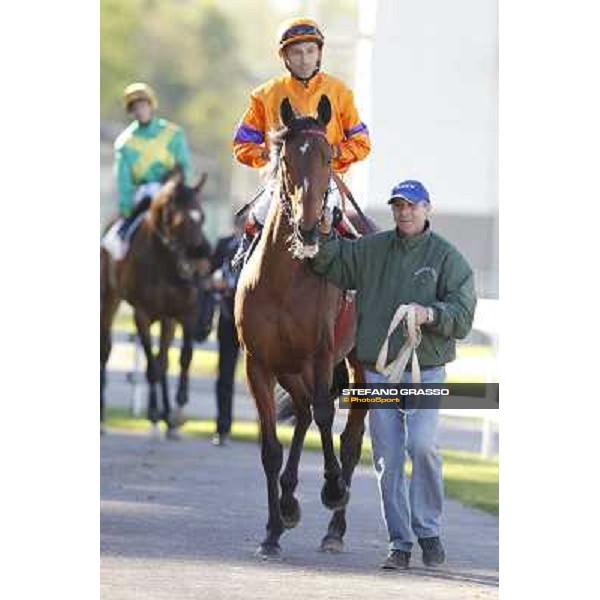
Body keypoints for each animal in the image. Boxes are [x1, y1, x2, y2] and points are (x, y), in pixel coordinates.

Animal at [99, 166, 211, 438]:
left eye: (202, 217)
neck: (164, 261)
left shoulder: (185, 312)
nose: (201, 264)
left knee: (164, 360)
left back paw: (166, 415)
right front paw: (154, 412)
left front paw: (177, 409)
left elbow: (183, 357)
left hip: (167, 319)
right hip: (109, 300)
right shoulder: (142, 313)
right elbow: (151, 367)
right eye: (181, 221)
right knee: (107, 350)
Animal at [234, 95, 370, 556]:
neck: (284, 278)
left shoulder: (321, 353)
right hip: (290, 367)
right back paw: (290, 501)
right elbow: (270, 447)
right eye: (289, 159)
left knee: (349, 434)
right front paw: (273, 530)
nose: (309, 228)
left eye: (328, 157)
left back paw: (335, 528)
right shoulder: (258, 362)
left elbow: (328, 415)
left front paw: (332, 488)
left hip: (359, 361)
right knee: (305, 411)